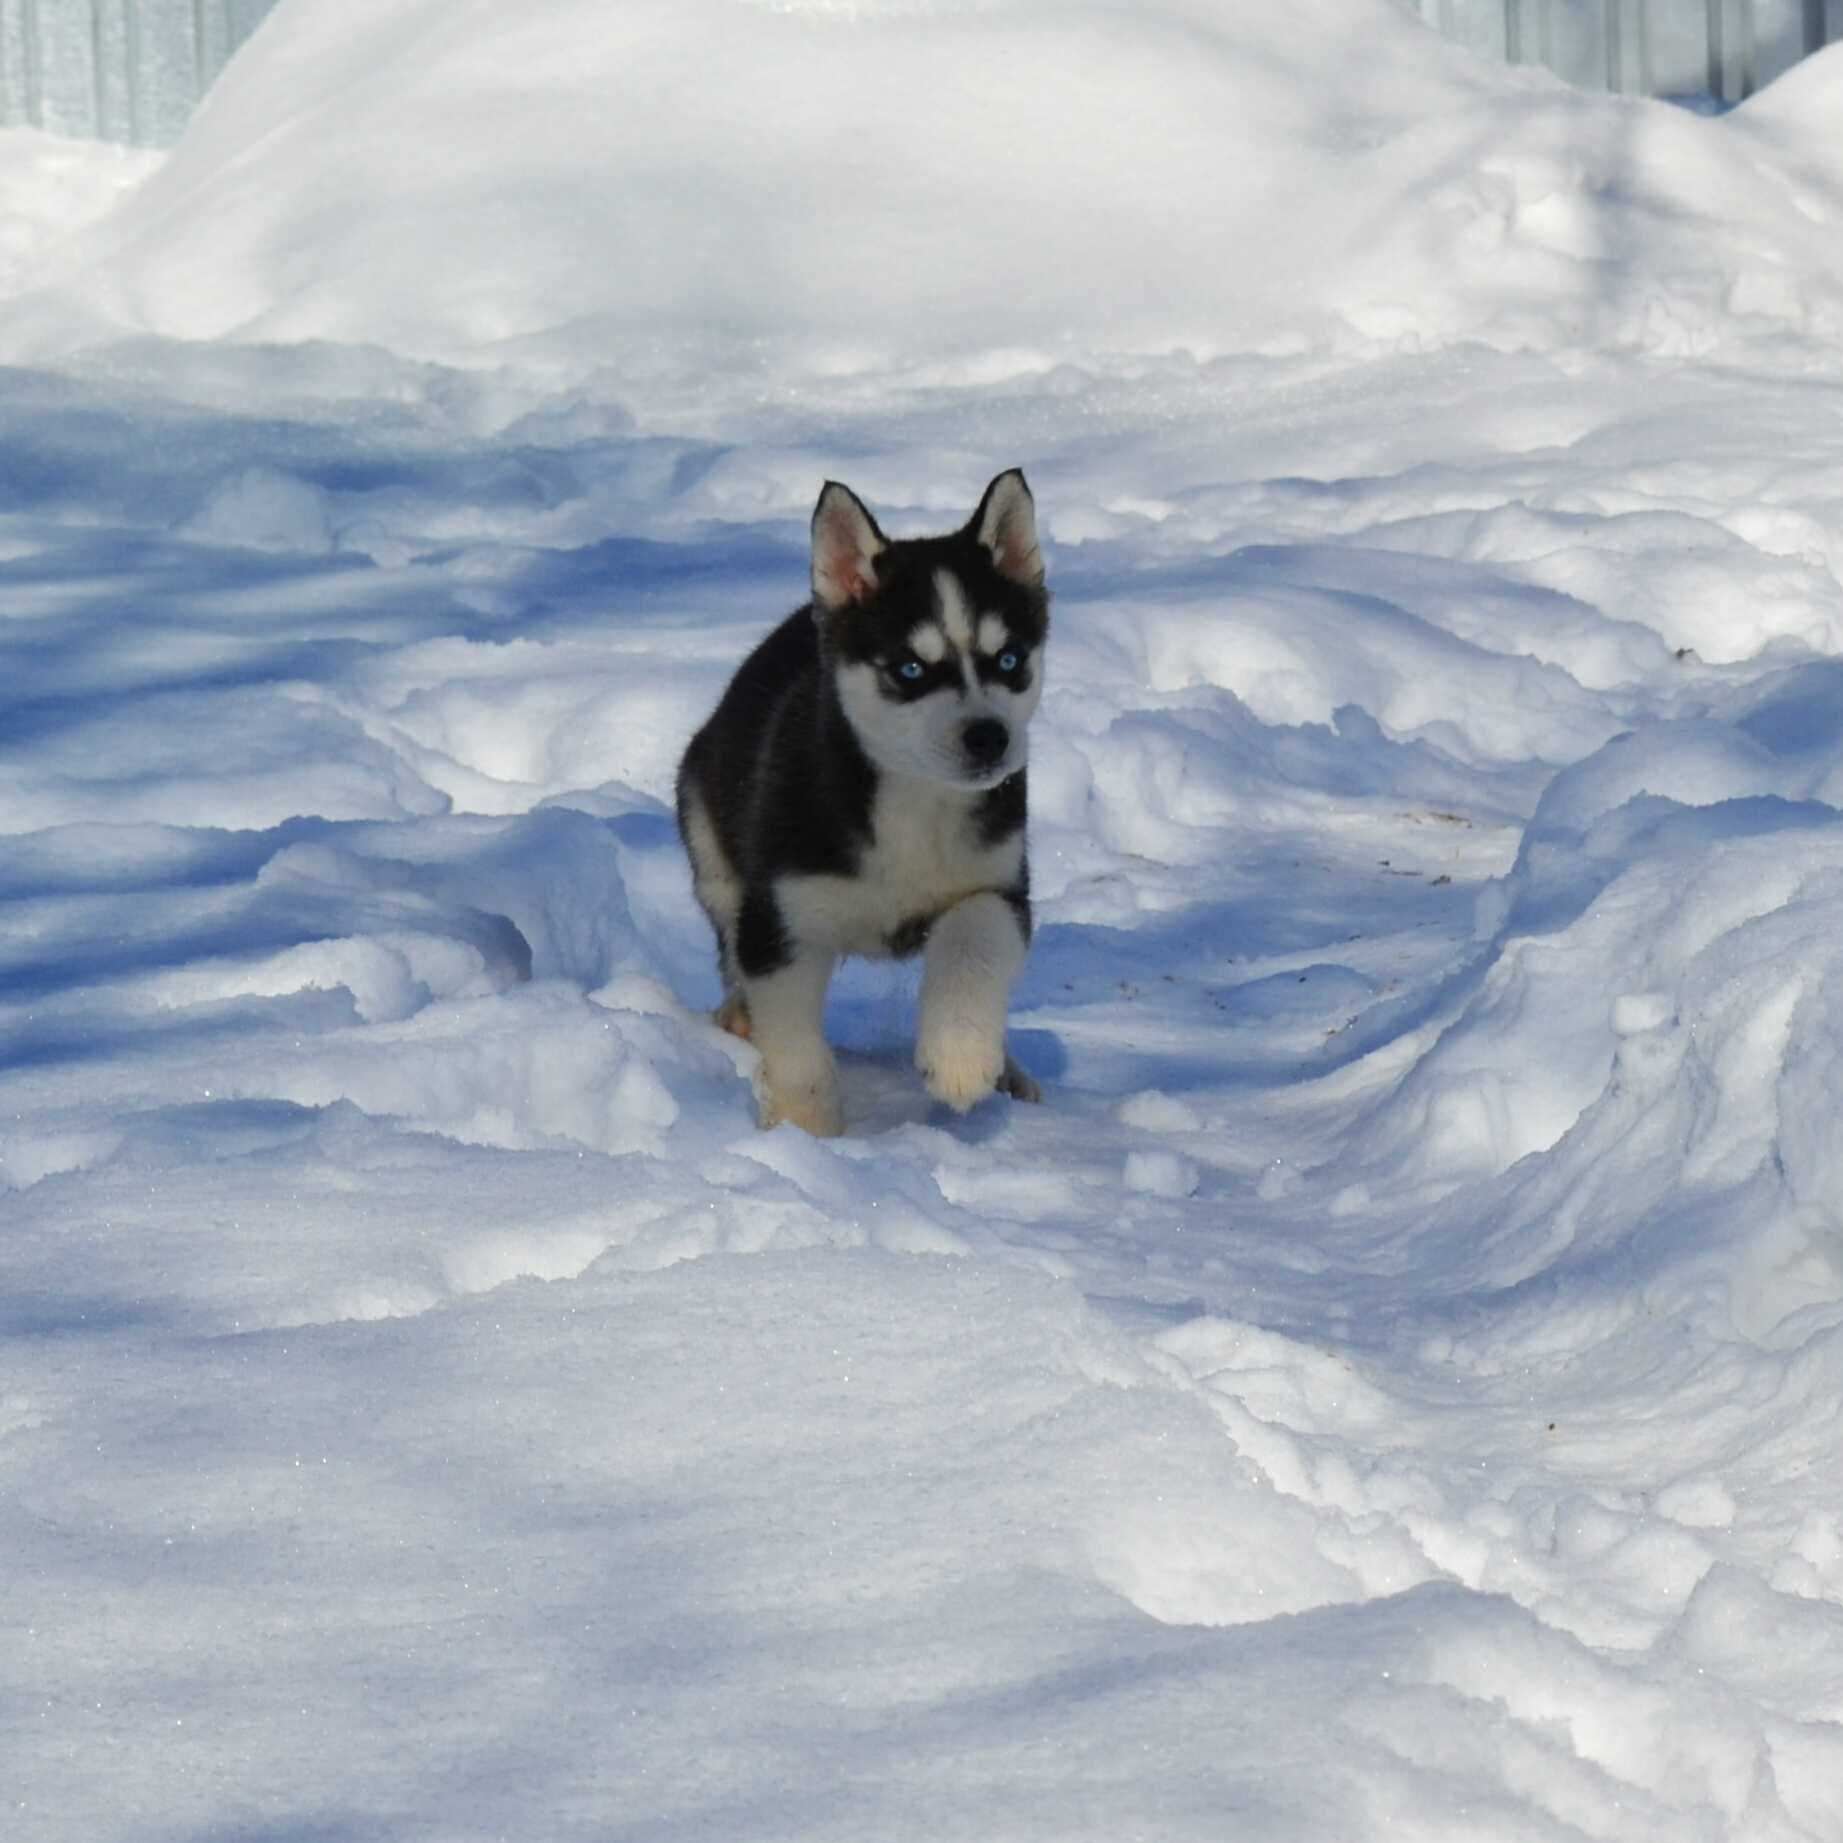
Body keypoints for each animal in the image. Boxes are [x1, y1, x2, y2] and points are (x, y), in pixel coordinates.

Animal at [678, 471, 1054, 1135]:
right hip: (712, 849)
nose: (989, 737)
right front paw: (805, 1134)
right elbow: (795, 1046)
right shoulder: (781, 920)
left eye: (1008, 659)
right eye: (910, 670)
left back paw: (1008, 1070)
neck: (914, 805)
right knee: (730, 952)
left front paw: (960, 1058)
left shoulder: (998, 884)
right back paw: (737, 1018)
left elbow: (974, 944)